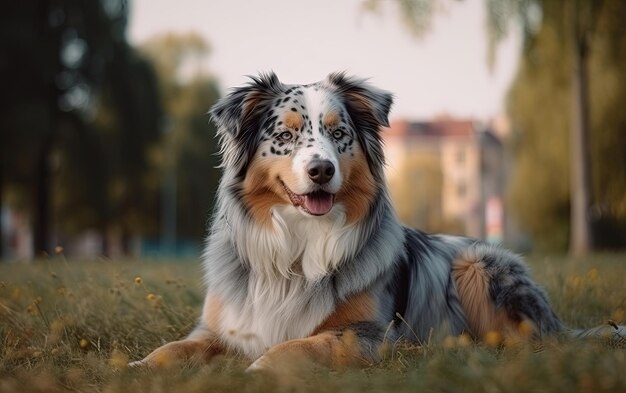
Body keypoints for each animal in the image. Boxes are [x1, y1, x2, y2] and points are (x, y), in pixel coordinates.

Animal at [130, 71, 620, 374]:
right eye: (285, 135)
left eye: (338, 133)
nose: (321, 170)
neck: (297, 250)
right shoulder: (218, 328)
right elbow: (171, 349)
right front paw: (136, 369)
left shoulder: (368, 334)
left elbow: (297, 346)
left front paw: (255, 371)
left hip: (478, 265)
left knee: (531, 342)